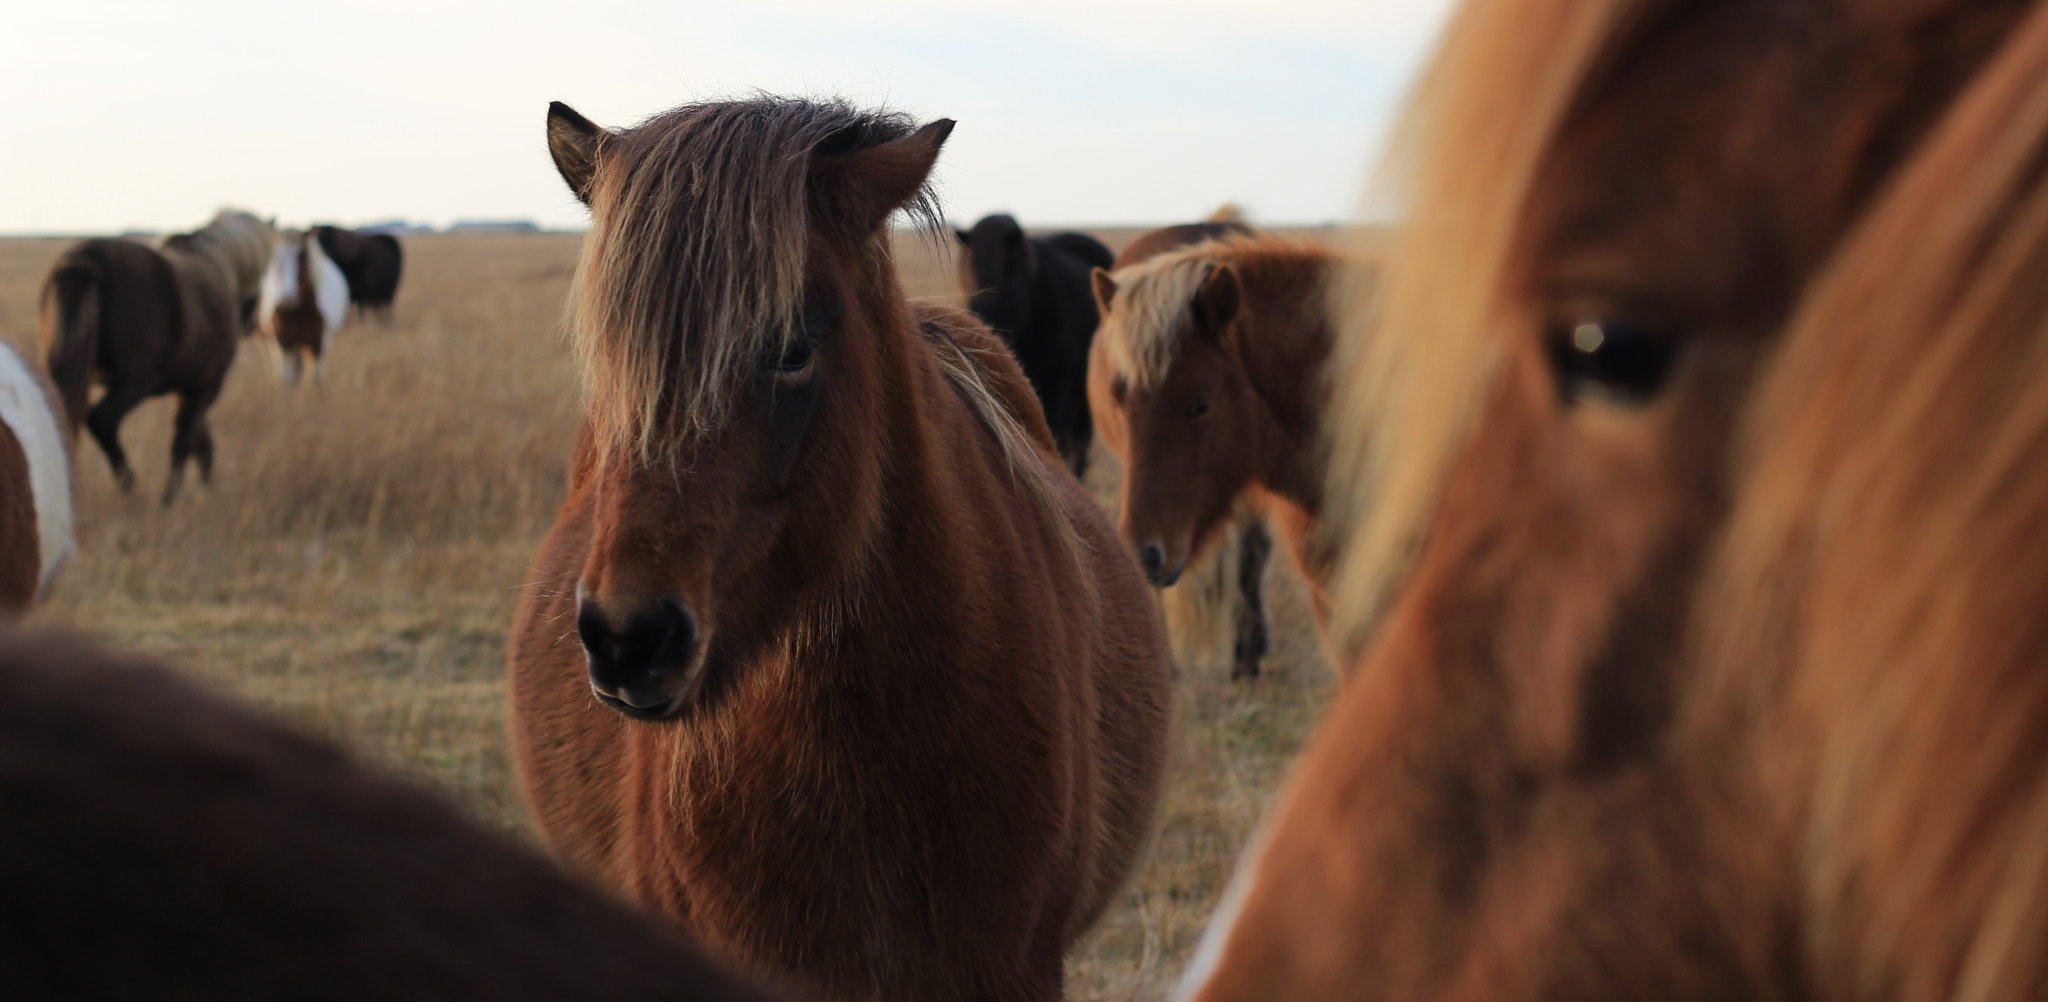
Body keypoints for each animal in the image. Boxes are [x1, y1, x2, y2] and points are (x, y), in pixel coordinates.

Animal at [39, 213, 254, 506]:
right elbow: (186, 432)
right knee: (102, 420)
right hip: (136, 382)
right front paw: (174, 495)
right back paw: (132, 487)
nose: (252, 324)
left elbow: (197, 432)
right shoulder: (207, 384)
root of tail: (84, 261)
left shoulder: (188, 387)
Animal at [258, 229, 351, 386]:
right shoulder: (285, 345)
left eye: (301, 255)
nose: (286, 299)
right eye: (275, 257)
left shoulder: (318, 344)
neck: (301, 312)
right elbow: (287, 380)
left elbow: (317, 379)